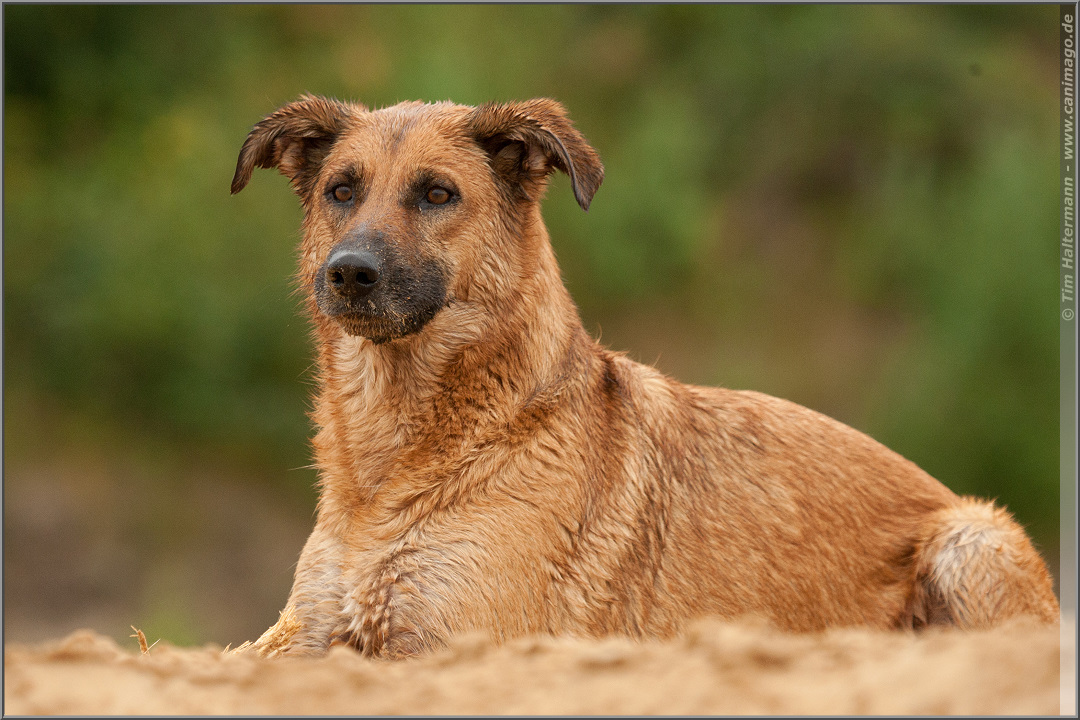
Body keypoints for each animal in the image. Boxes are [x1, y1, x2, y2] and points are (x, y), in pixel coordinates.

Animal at [232, 95, 1058, 660]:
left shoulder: (447, 636)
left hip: (974, 535)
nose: (348, 274)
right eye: (342, 190)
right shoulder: (307, 630)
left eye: (437, 193)